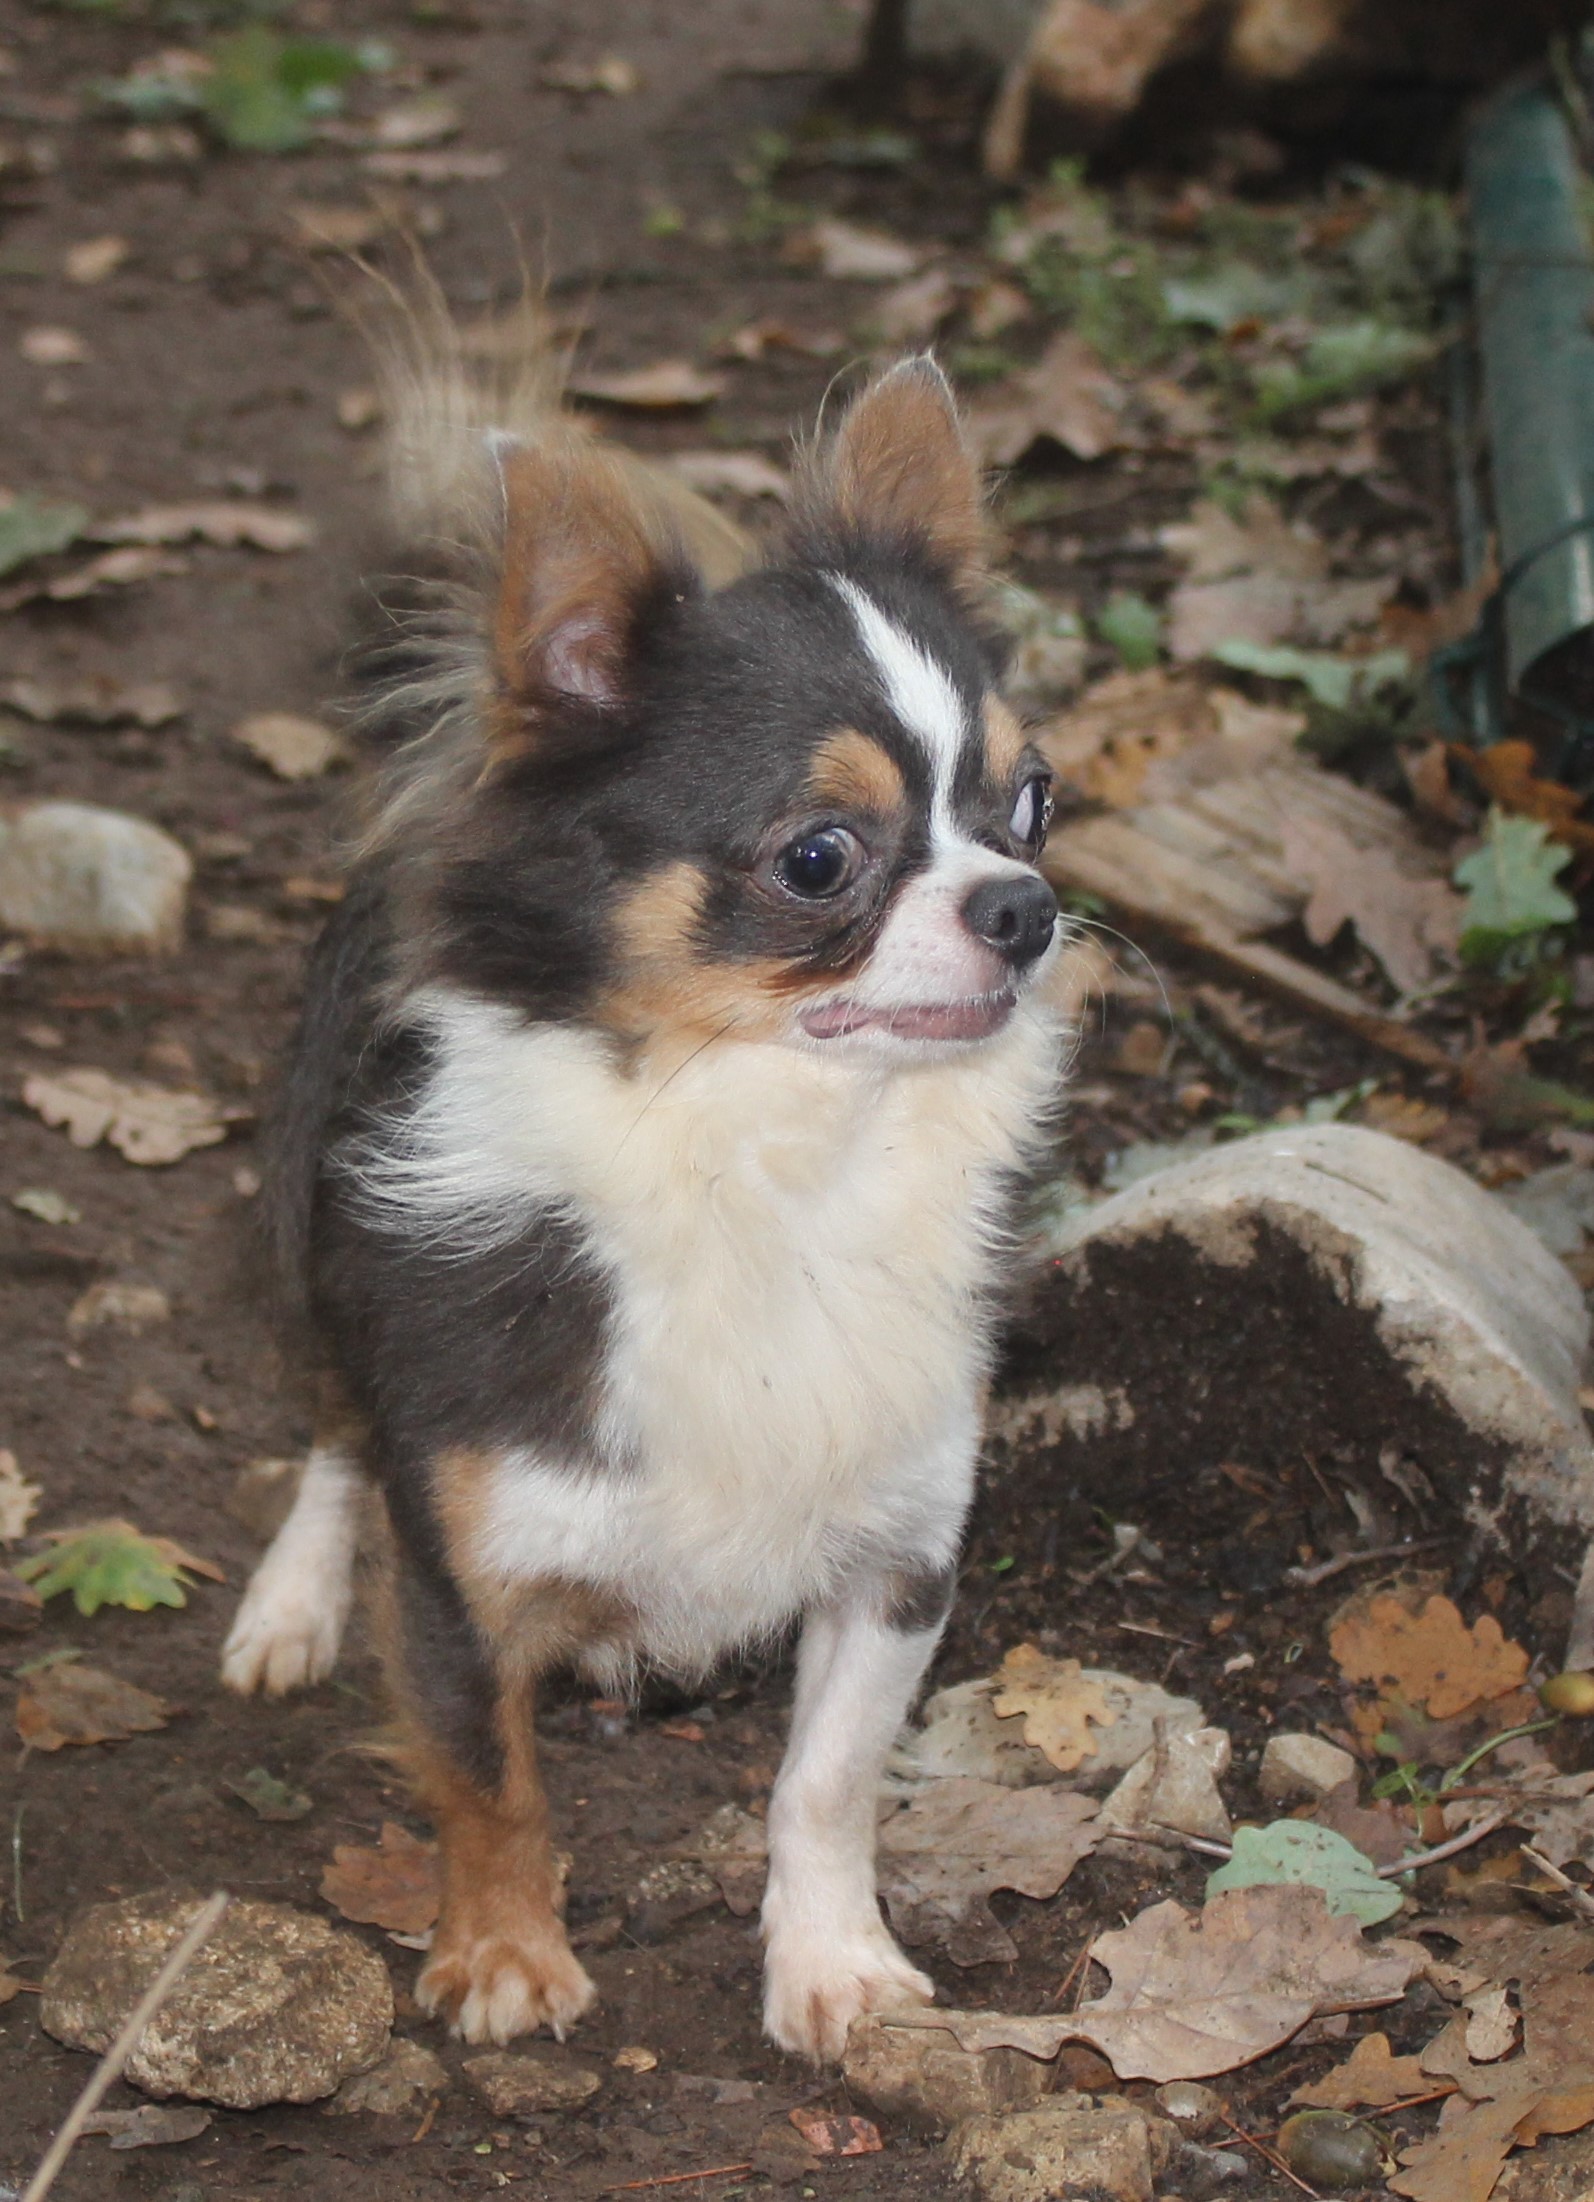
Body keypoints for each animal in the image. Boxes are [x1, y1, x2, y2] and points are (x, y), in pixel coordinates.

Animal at [221, 319, 1070, 2069]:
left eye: (1031, 802)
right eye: (817, 857)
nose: (1023, 906)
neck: (777, 1160)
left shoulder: (897, 1555)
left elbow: (826, 1781)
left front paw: (833, 1963)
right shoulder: (460, 1564)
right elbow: (490, 1777)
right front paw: (502, 1952)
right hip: (308, 1248)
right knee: (331, 1431)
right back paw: (288, 1603)